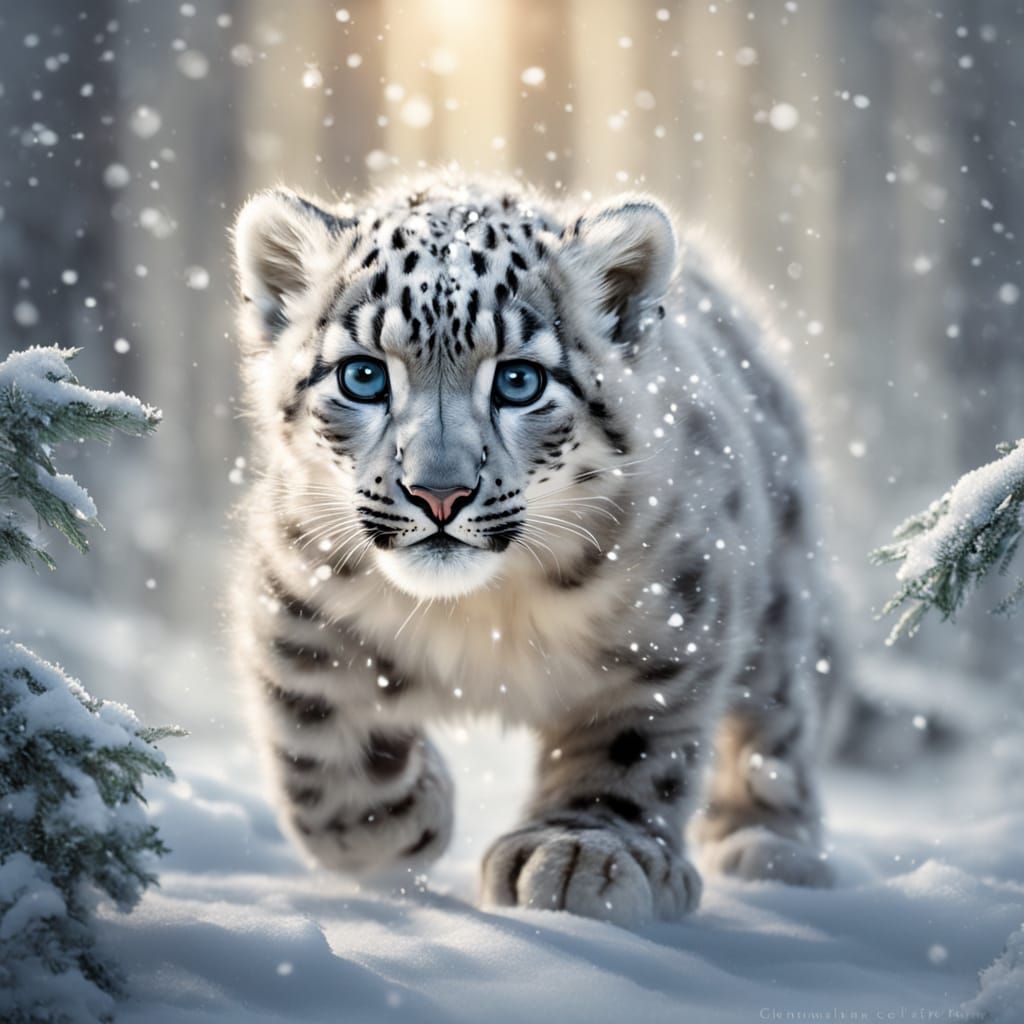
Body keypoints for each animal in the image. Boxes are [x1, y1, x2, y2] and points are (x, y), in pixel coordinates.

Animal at [228, 173, 845, 928]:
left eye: (519, 380)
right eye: (363, 376)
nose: (438, 493)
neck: (484, 610)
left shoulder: (669, 623)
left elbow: (630, 745)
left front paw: (581, 853)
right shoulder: (298, 597)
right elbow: (315, 745)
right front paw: (405, 820)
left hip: (777, 596)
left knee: (776, 720)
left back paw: (769, 847)